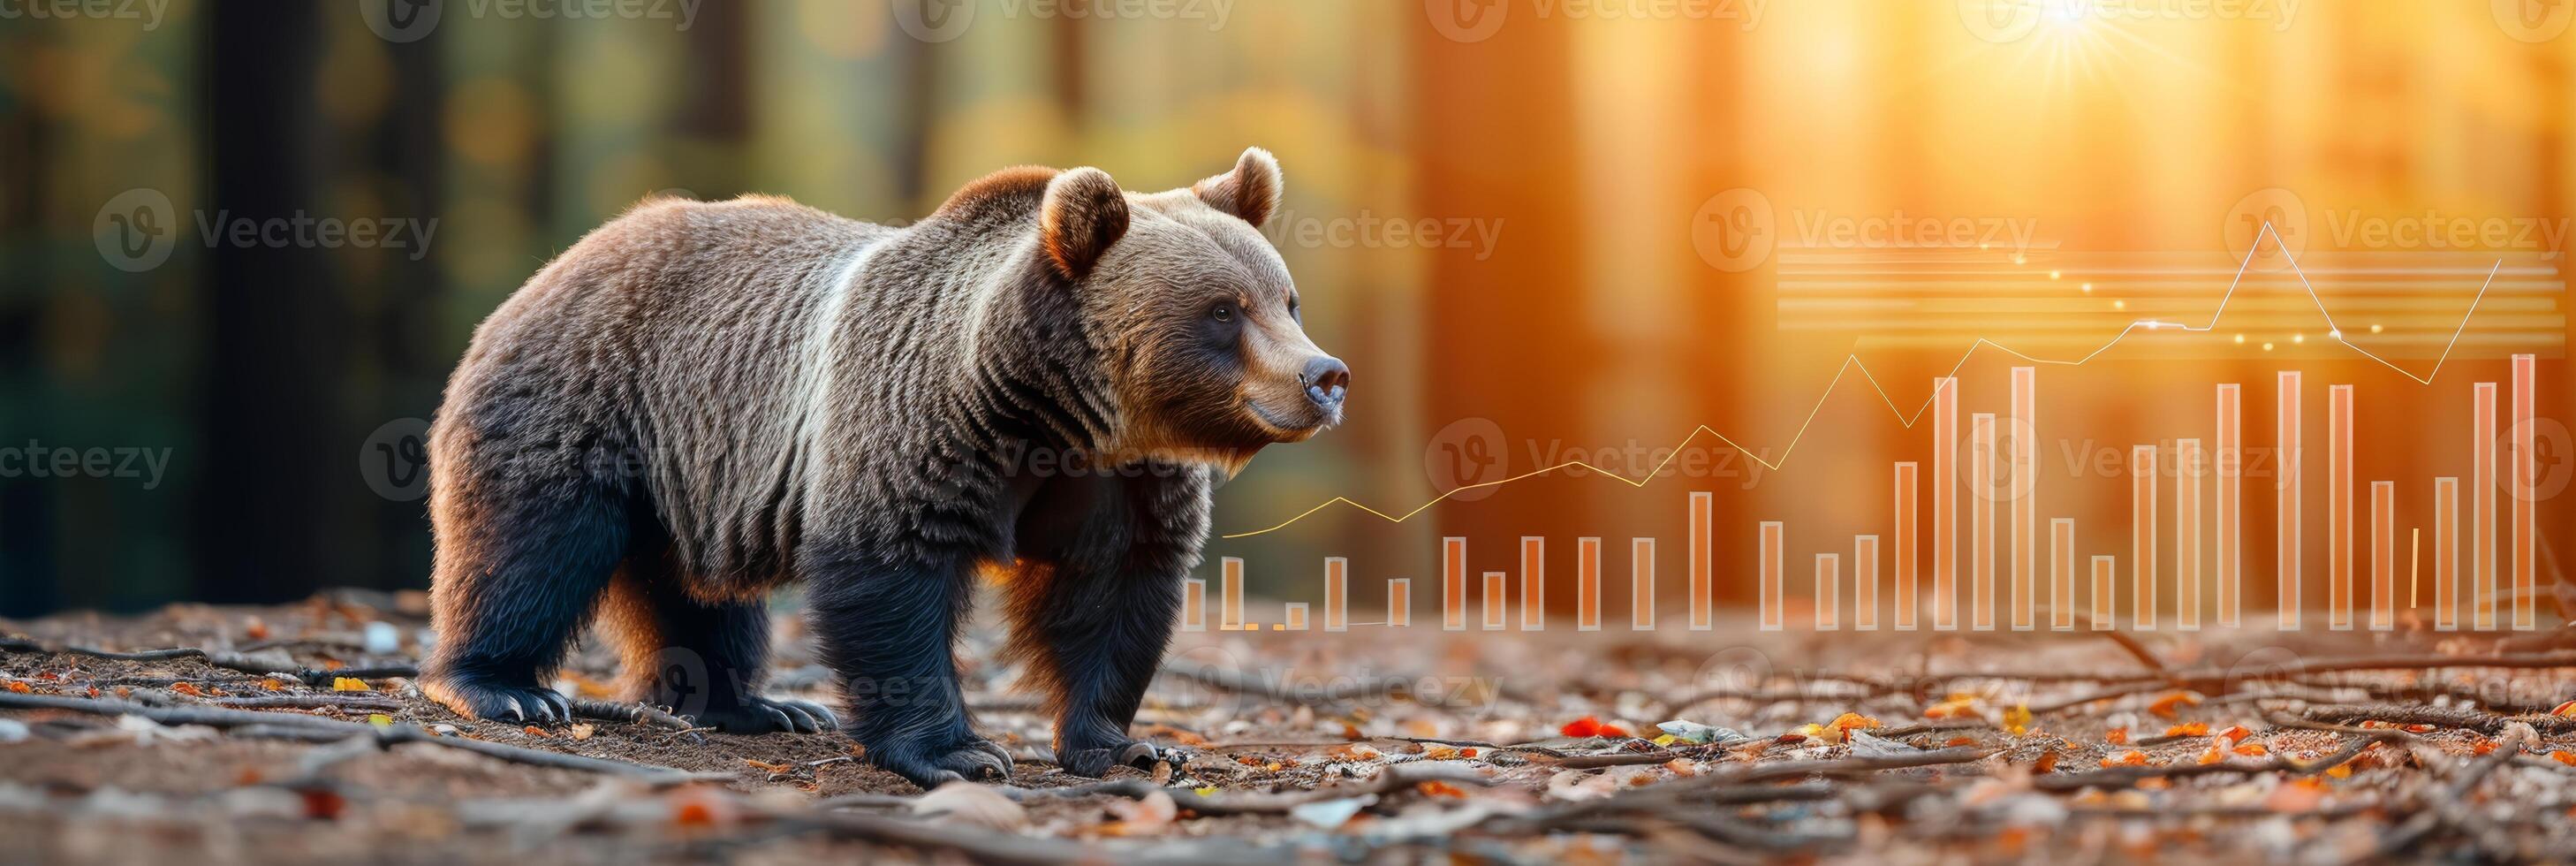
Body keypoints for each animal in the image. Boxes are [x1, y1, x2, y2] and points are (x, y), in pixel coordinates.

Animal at [422, 150, 1349, 794]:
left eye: (1286, 298)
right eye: (1223, 311)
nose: (1325, 376)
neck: (1053, 415)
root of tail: (556, 265)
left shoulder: (1119, 481)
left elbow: (1111, 594)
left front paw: (1123, 743)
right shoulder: (921, 425)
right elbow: (892, 576)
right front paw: (960, 753)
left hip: (690, 468)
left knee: (694, 591)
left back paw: (755, 706)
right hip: (584, 403)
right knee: (529, 548)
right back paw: (504, 688)